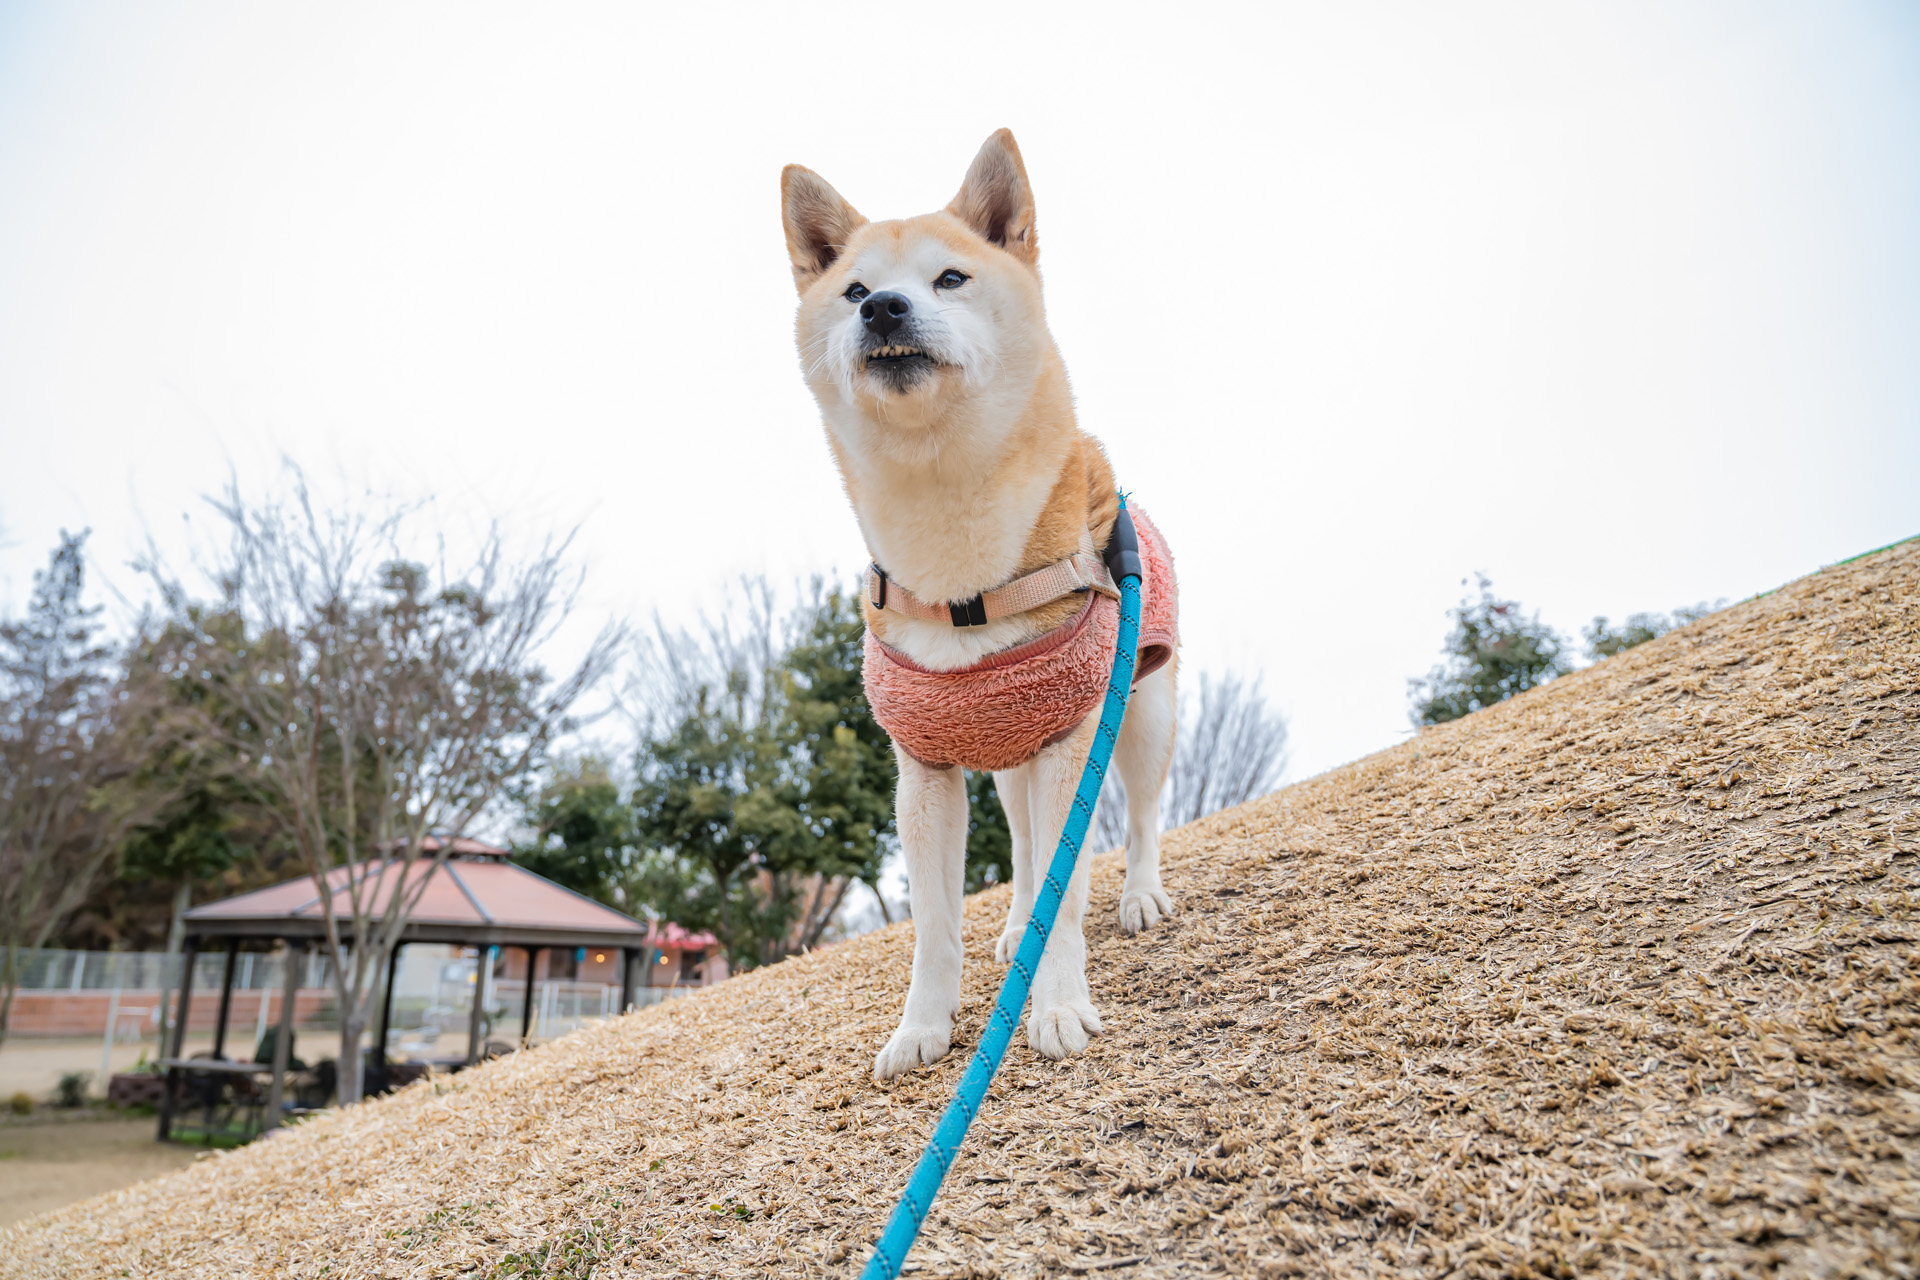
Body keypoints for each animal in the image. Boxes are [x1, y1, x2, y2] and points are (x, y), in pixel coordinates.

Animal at [780, 129, 1181, 1081]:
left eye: (951, 278)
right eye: (853, 291)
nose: (885, 309)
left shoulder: (1075, 737)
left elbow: (1069, 897)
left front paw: (1058, 1006)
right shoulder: (925, 769)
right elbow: (935, 927)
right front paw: (922, 1028)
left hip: (1139, 709)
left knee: (1144, 814)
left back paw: (1141, 897)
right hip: (1006, 761)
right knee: (1031, 852)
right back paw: (1014, 932)